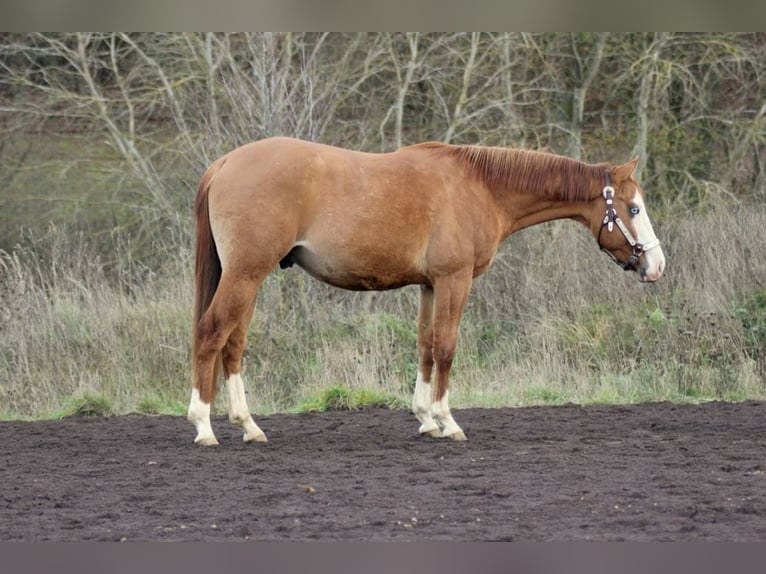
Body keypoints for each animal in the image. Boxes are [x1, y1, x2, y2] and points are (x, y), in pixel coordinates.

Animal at [187, 137, 665, 445]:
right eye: (633, 209)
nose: (657, 266)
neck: (480, 186)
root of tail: (225, 163)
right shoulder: (455, 280)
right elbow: (447, 348)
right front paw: (447, 421)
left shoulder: (430, 285)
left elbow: (426, 347)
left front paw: (424, 419)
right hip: (246, 274)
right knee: (211, 333)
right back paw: (204, 426)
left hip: (247, 279)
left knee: (233, 343)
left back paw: (248, 426)